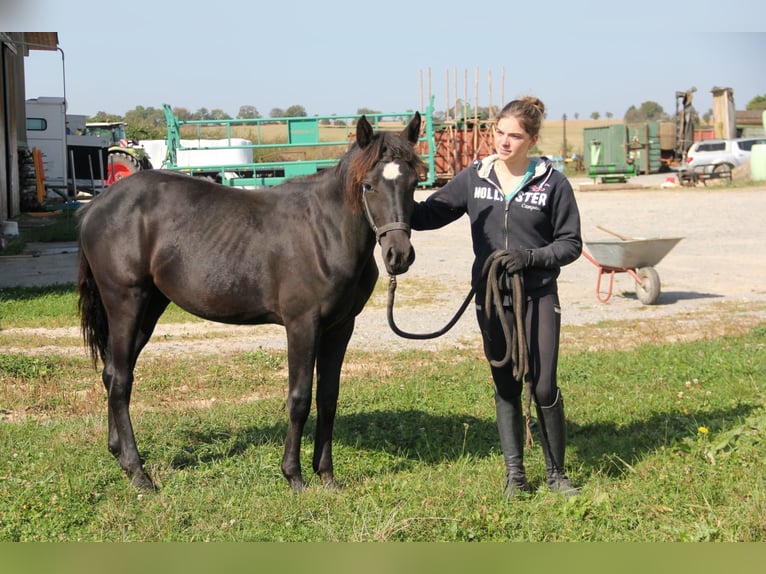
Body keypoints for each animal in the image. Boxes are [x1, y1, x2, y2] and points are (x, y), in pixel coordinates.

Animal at [78, 113, 426, 496]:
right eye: (368, 185)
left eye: (413, 183)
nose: (398, 256)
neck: (325, 232)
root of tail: (96, 206)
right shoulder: (302, 325)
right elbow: (299, 398)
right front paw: (294, 476)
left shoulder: (339, 327)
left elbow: (328, 398)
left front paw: (327, 476)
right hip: (126, 302)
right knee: (121, 380)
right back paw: (138, 473)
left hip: (149, 308)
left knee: (112, 372)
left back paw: (118, 454)